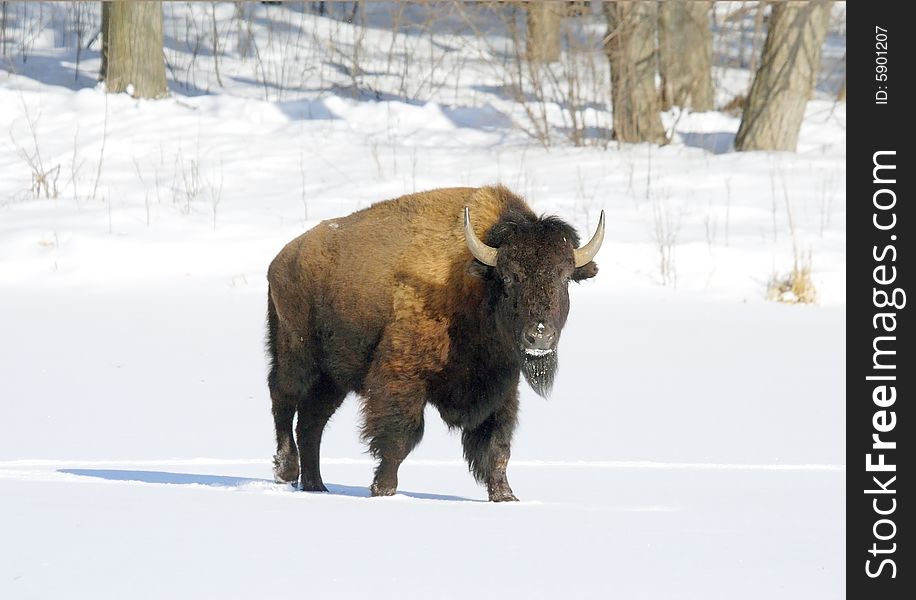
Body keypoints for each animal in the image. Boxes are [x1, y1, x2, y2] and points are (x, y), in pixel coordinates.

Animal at [266, 186, 600, 502]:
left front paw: (506, 497)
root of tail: (280, 260)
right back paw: (287, 471)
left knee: (312, 421)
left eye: (564, 277)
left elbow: (497, 448)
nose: (539, 335)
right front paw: (383, 490)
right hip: (297, 356)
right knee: (283, 399)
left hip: (333, 379)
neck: (472, 284)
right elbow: (400, 437)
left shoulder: (500, 388)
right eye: (508, 276)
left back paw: (316, 486)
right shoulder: (402, 377)